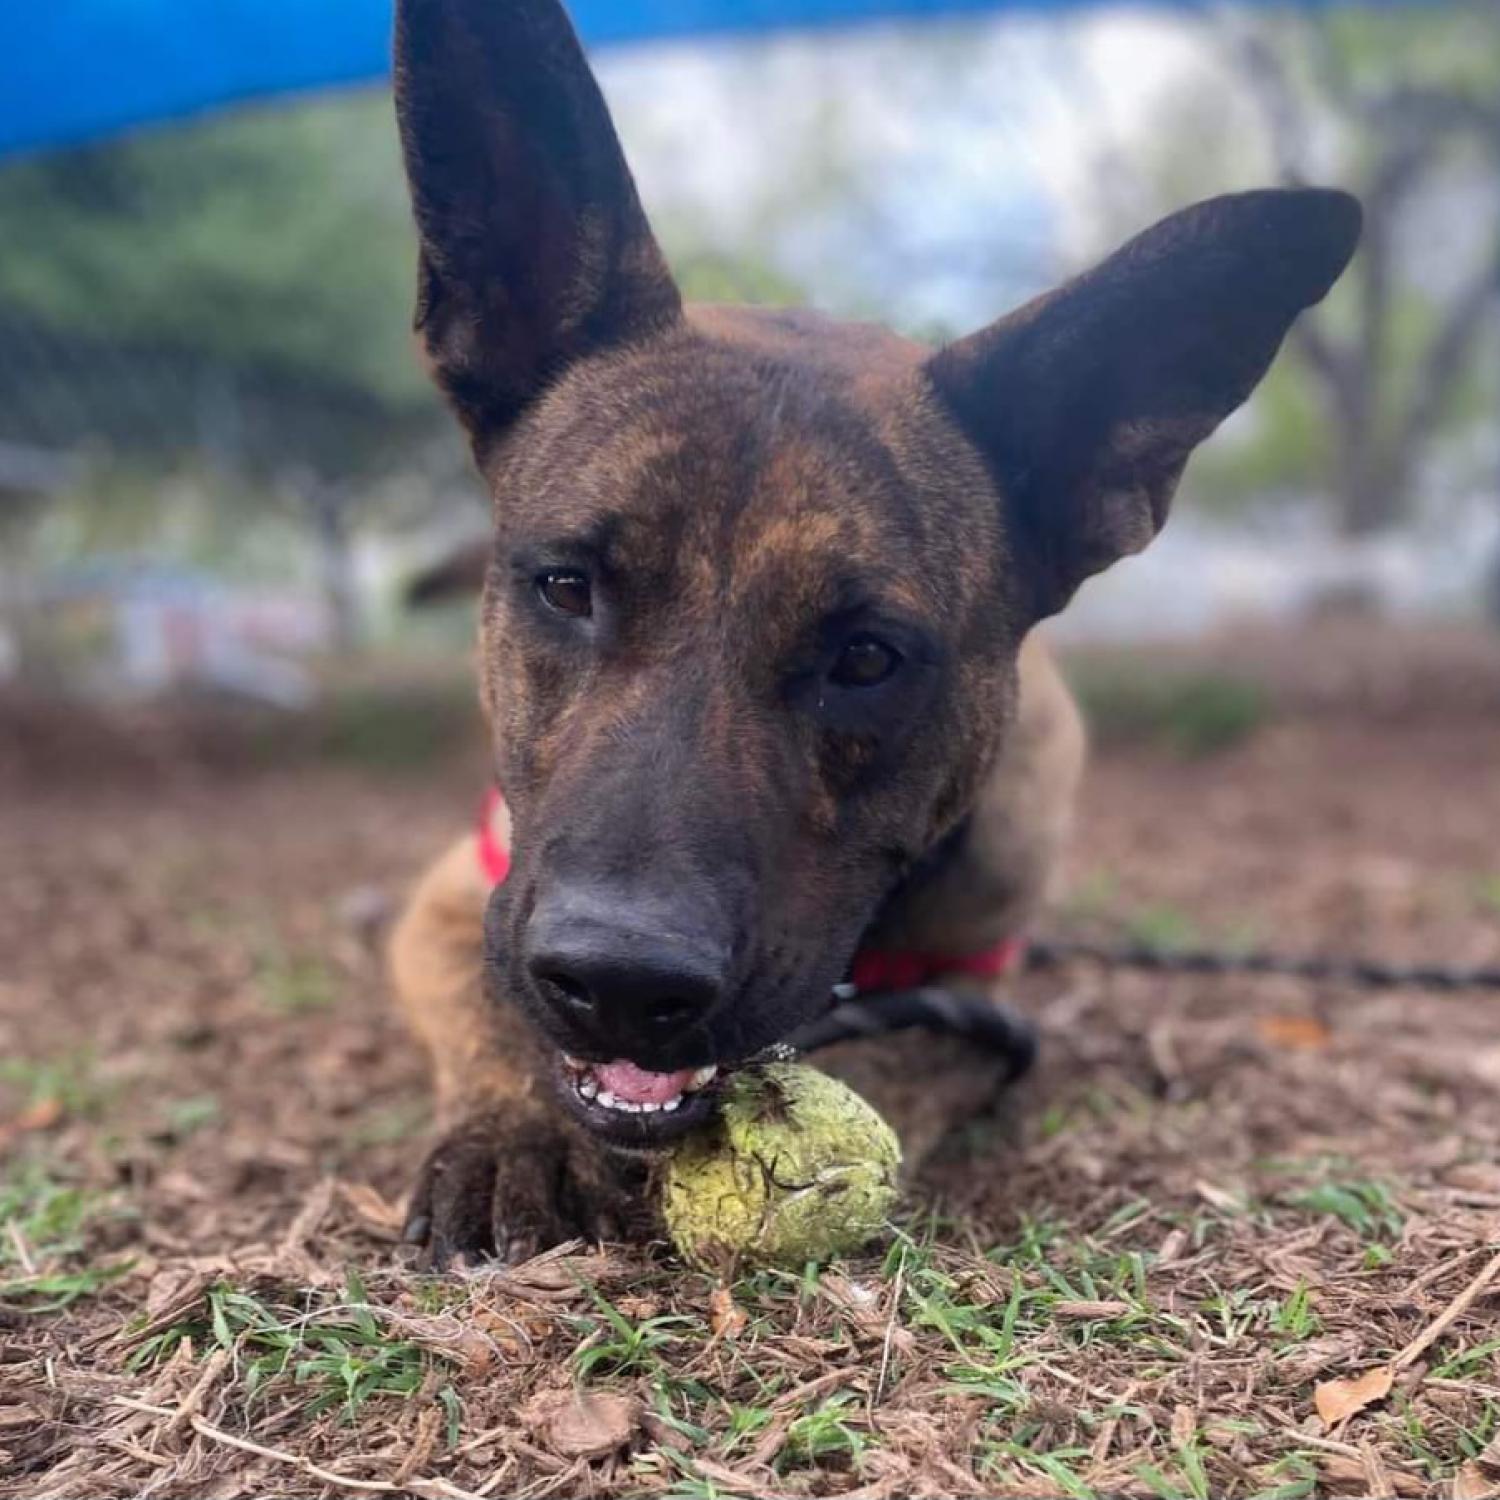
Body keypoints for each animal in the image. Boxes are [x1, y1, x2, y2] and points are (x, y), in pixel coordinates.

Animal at [384, 0, 1362, 1266]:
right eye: (566, 587)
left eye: (867, 658)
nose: (622, 986)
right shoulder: (463, 899)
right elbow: (483, 1003)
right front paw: (519, 1129)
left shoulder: (978, 993)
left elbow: (917, 1051)